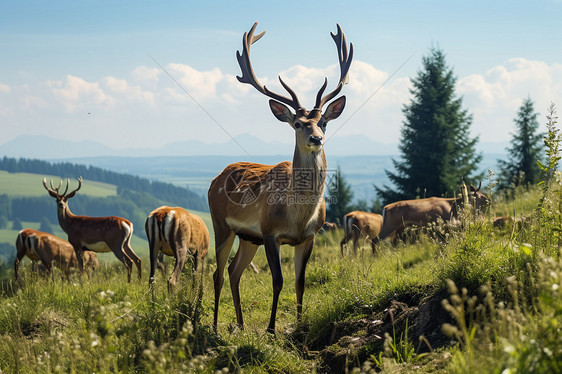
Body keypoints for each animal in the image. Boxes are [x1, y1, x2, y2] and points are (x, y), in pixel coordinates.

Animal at [208, 22, 352, 334]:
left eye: (323, 122)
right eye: (298, 123)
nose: (316, 138)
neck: (297, 216)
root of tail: (216, 177)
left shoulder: (309, 238)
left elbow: (300, 283)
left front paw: (299, 325)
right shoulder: (270, 233)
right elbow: (278, 281)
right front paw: (272, 329)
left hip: (248, 237)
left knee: (234, 271)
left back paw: (241, 324)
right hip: (221, 225)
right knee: (218, 273)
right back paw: (213, 327)